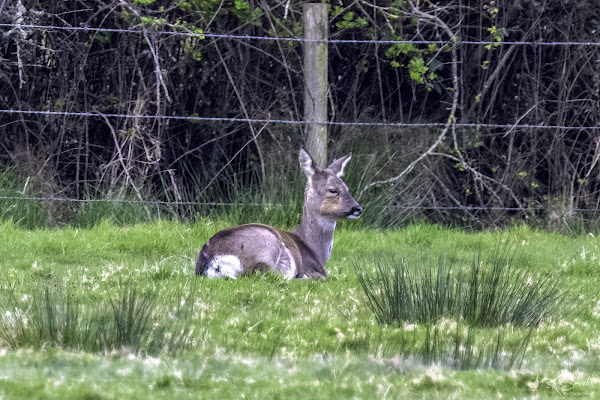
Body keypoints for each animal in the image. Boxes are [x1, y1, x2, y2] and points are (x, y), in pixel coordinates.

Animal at [196, 148, 360, 280]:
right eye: (333, 190)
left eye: (347, 188)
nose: (358, 208)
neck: (315, 251)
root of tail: (210, 258)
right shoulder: (314, 268)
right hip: (267, 247)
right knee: (264, 275)